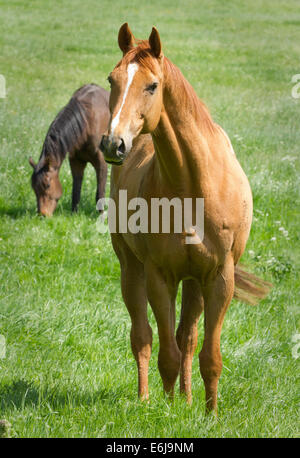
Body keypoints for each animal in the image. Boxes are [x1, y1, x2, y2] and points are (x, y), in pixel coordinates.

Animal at [28, 84, 109, 216]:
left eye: (47, 185)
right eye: (34, 188)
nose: (42, 215)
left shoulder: (101, 162)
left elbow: (100, 193)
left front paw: (101, 215)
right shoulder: (76, 162)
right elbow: (76, 191)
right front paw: (74, 213)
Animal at [100, 23, 270, 414]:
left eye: (152, 85)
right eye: (112, 80)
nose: (113, 144)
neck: (193, 185)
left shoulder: (219, 277)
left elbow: (208, 355)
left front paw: (209, 413)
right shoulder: (159, 276)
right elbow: (167, 353)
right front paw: (166, 410)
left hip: (193, 281)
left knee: (187, 338)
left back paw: (188, 397)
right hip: (131, 268)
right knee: (143, 337)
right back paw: (147, 398)